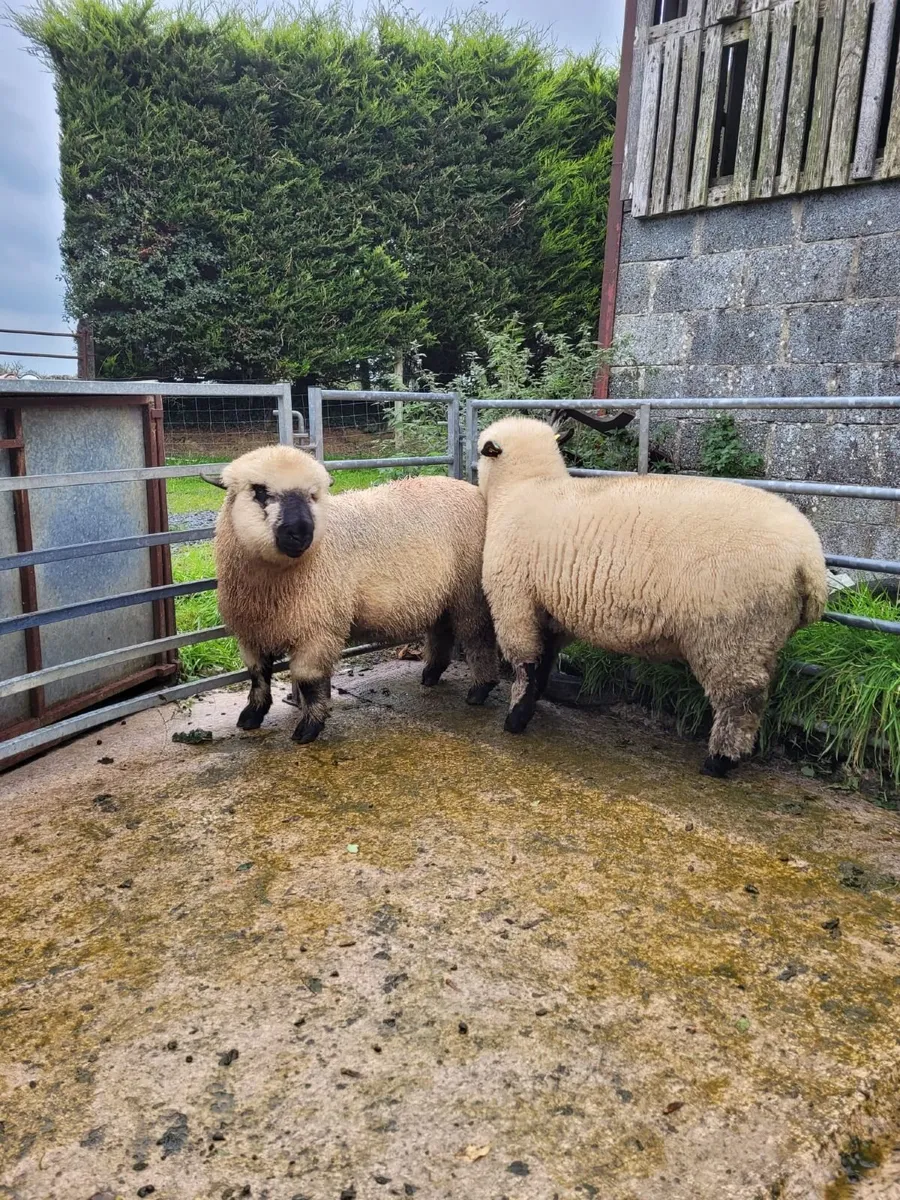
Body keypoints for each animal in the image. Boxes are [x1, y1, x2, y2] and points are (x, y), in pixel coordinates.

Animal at [209, 445, 499, 744]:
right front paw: (252, 716)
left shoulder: (318, 629)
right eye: (260, 491)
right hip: (443, 594)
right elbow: (257, 675)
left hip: (469, 592)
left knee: (477, 637)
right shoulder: (250, 631)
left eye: (313, 495)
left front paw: (309, 728)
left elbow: (309, 680)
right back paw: (432, 673)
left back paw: (480, 689)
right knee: (442, 630)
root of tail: (471, 489)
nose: (301, 532)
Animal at [476, 417, 827, 777]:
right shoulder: (553, 612)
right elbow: (544, 661)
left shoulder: (513, 598)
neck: (527, 487)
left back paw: (718, 762)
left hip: (730, 634)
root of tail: (809, 559)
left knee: (741, 700)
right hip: (761, 636)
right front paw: (532, 704)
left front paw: (515, 719)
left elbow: (525, 663)